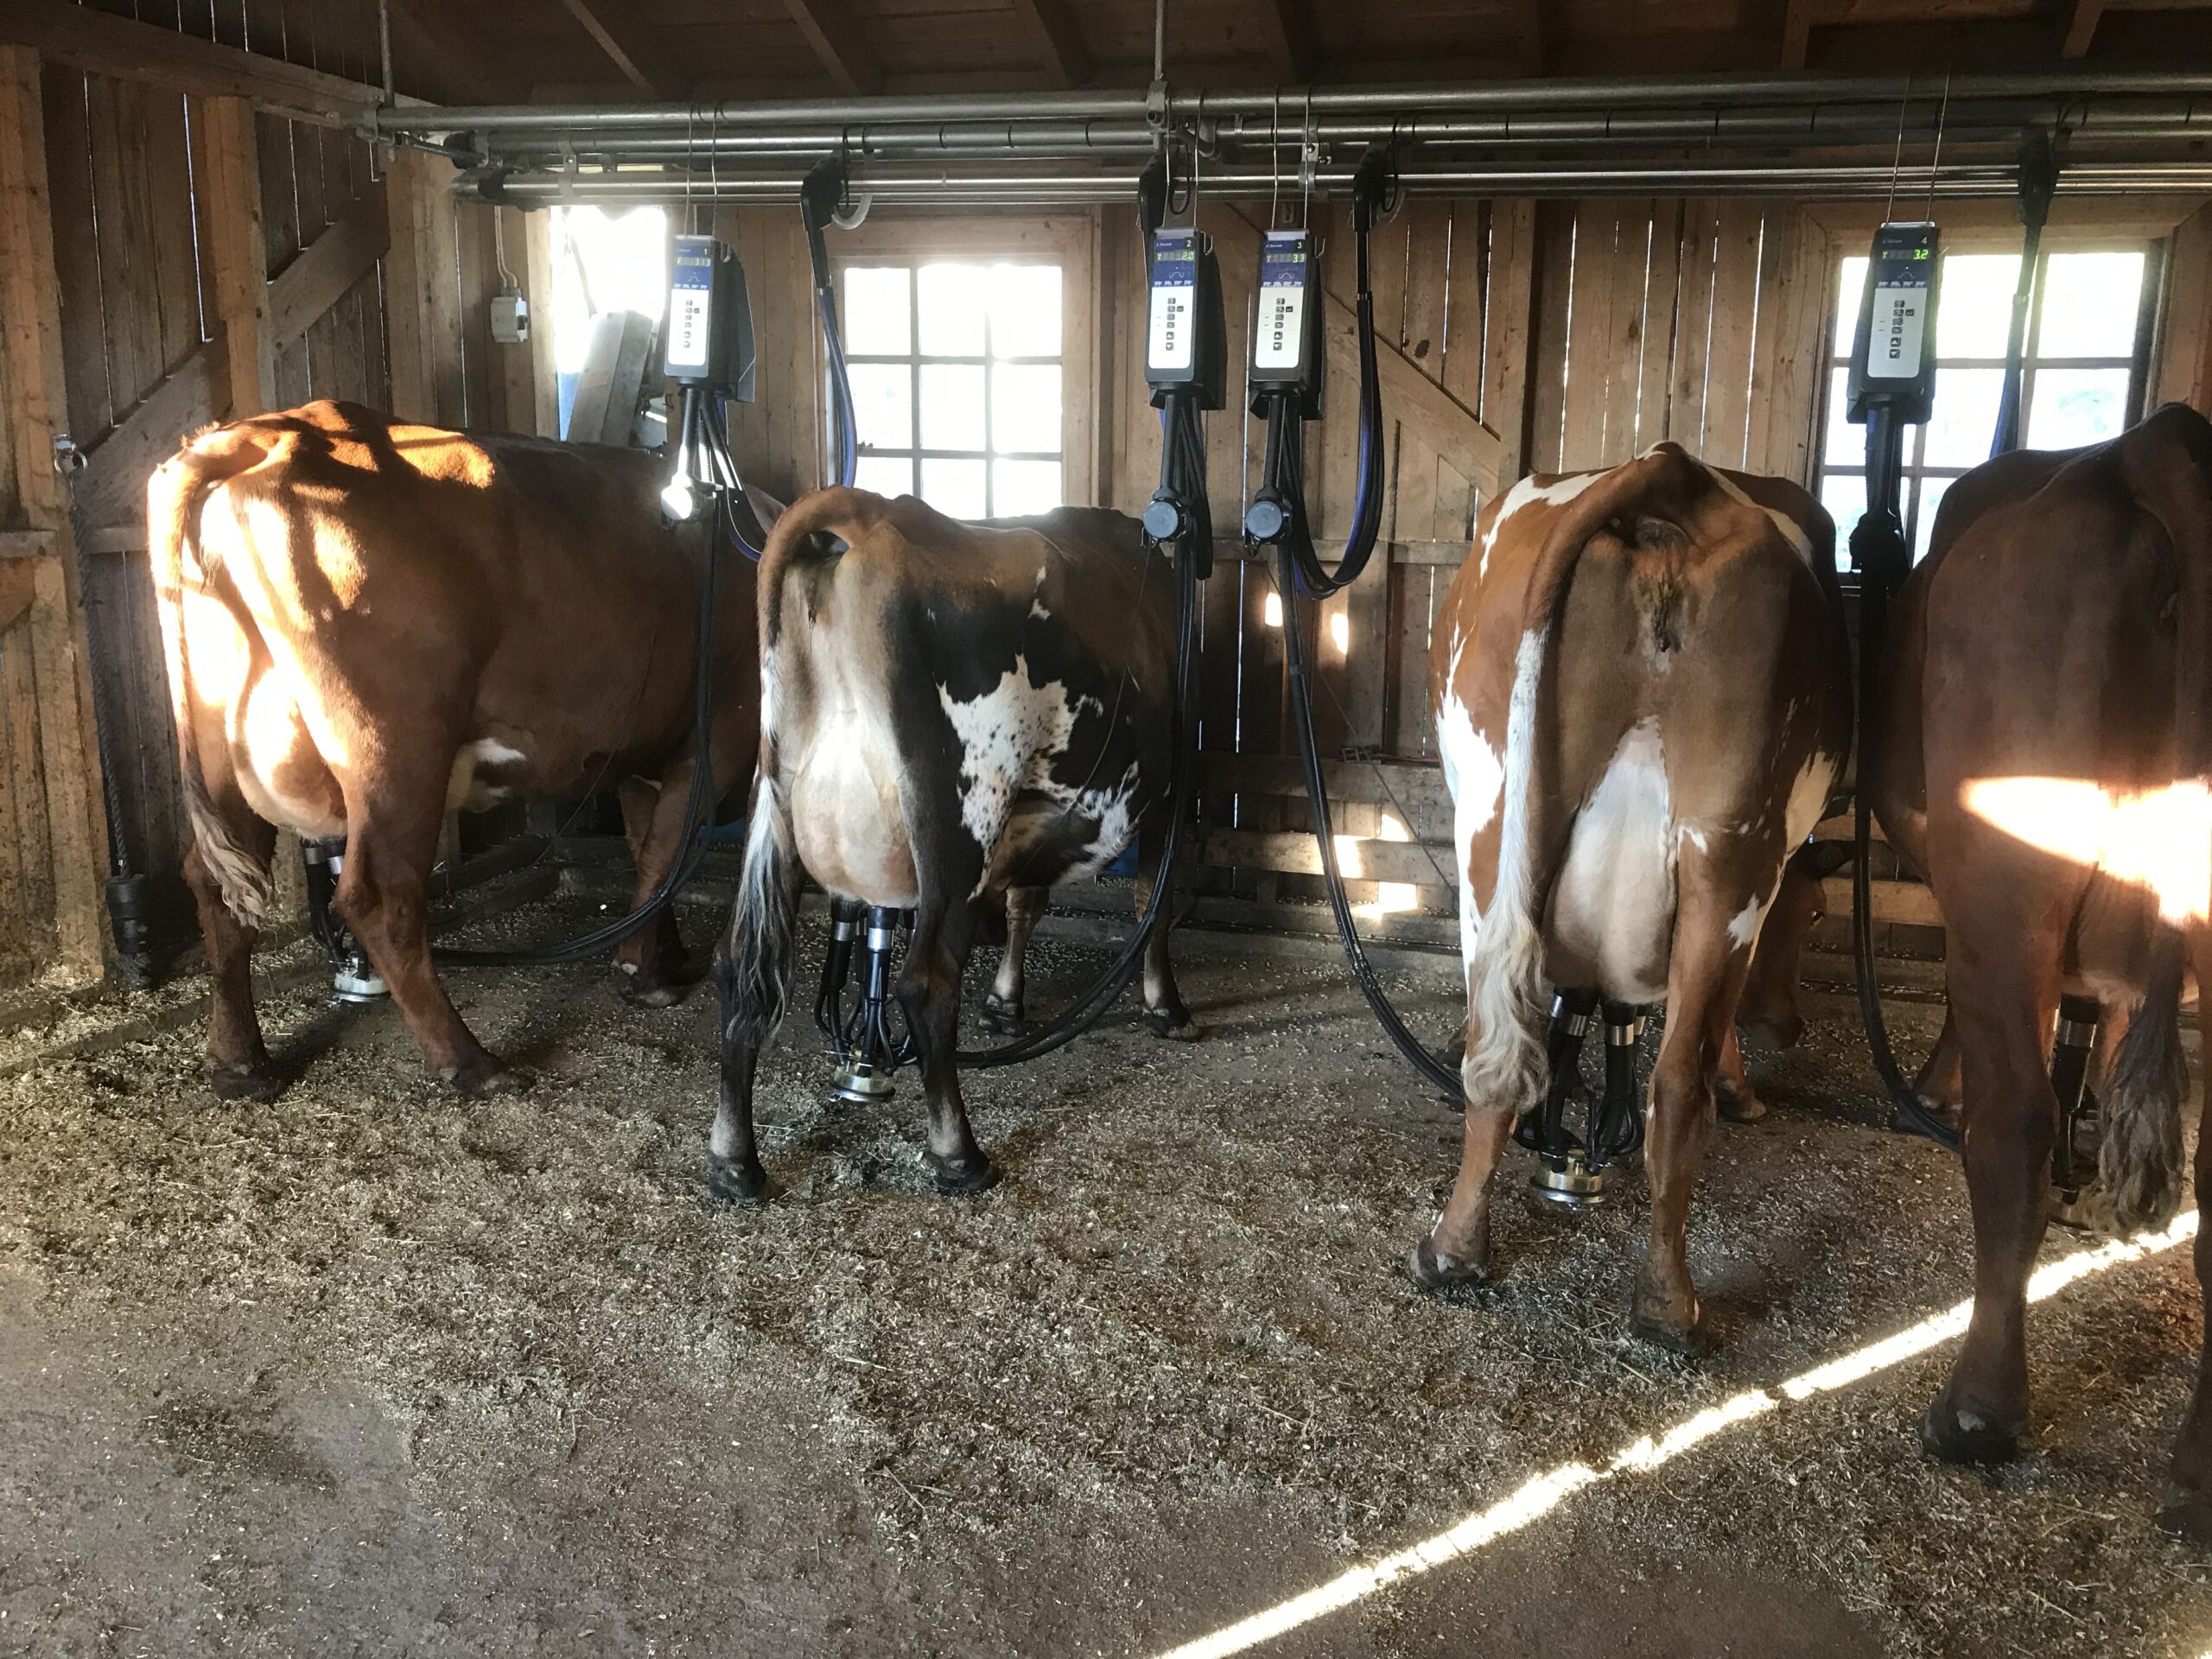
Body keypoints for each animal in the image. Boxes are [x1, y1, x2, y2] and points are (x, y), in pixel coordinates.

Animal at [151, 404, 765, 1106]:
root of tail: (274, 429)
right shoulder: (721, 730)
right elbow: (667, 852)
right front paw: (643, 974)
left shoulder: (644, 746)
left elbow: (648, 850)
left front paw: (663, 958)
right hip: (396, 747)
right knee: (379, 895)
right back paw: (470, 1061)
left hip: (225, 753)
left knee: (217, 884)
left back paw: (240, 1062)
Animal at [708, 486, 1194, 1203]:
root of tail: (870, 514)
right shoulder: (1175, 793)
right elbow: (1152, 906)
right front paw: (1166, 1006)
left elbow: (1026, 903)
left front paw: (1006, 1003)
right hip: (959, 820)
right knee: (926, 982)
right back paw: (960, 1154)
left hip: (774, 809)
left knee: (741, 968)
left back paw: (733, 1160)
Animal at [1407, 448, 1858, 1353]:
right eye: (1817, 913)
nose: (1790, 1026)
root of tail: (1668, 472)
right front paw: (1744, 1086)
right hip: (1728, 857)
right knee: (1671, 1079)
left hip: (1505, 830)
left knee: (1517, 1051)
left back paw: (1466, 1254)